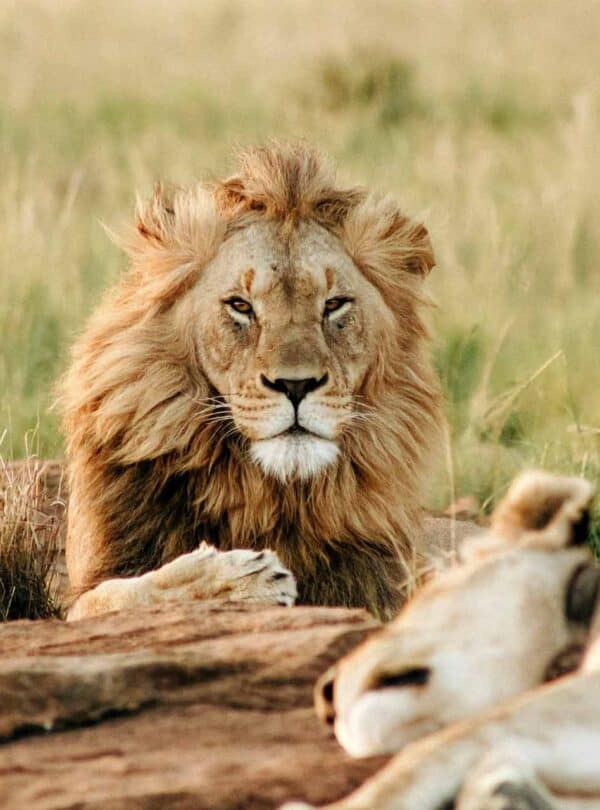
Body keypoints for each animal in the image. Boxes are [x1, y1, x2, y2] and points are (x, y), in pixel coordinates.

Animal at [61, 141, 441, 621]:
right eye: (240, 306)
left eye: (334, 304)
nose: (296, 386)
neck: (268, 495)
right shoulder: (85, 593)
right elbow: (125, 594)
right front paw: (239, 580)